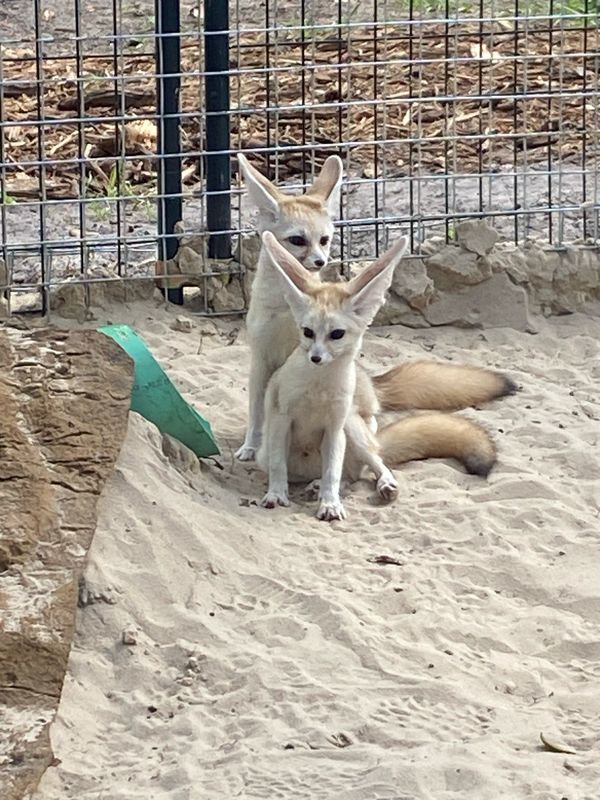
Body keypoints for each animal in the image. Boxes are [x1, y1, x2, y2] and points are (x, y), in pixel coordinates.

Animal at [235, 153, 517, 463]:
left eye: (324, 240)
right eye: (298, 240)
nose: (321, 262)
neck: (282, 309)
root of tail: (372, 382)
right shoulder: (261, 359)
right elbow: (256, 412)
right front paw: (250, 446)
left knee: (370, 421)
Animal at [256, 232, 504, 521]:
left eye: (336, 334)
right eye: (307, 332)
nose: (315, 358)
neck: (318, 388)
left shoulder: (335, 427)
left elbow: (332, 473)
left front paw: (330, 503)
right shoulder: (281, 419)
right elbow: (278, 465)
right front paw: (276, 494)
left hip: (353, 428)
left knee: (367, 466)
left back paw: (374, 484)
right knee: (347, 474)